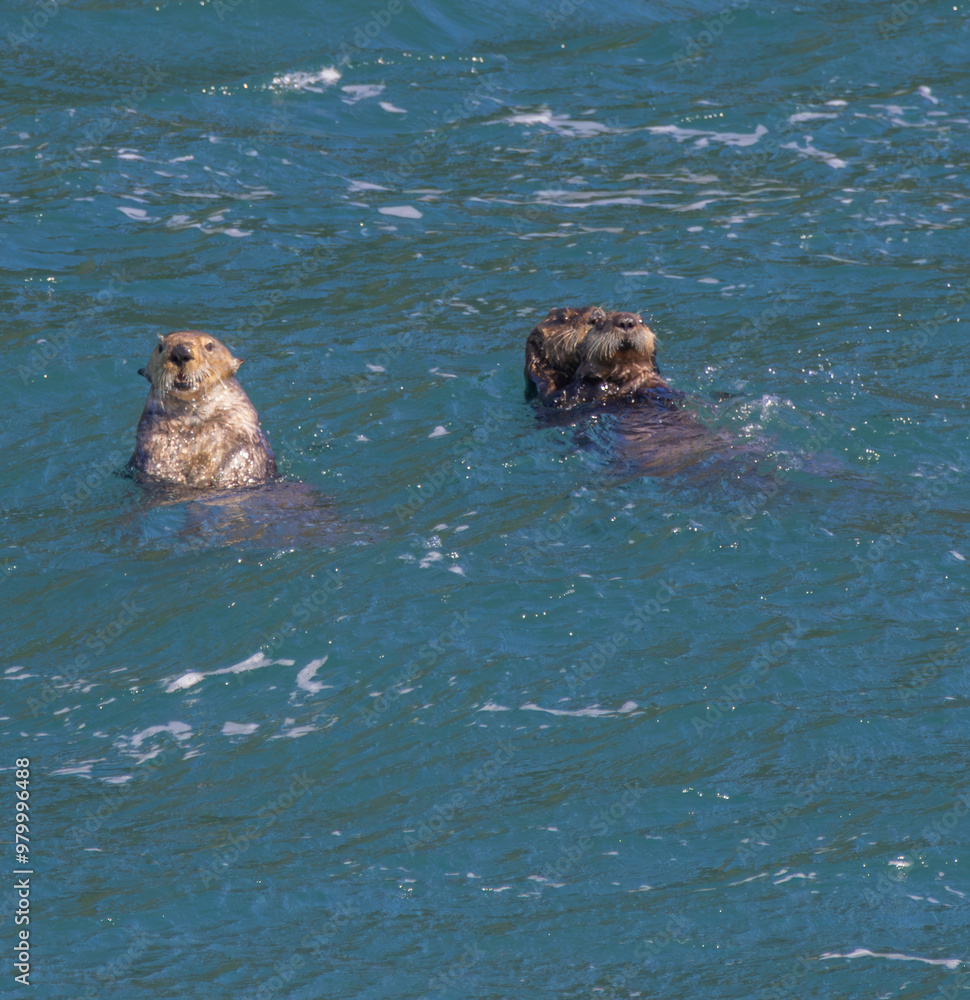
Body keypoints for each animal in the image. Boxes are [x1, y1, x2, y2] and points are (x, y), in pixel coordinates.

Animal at [127, 331, 277, 489]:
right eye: (160, 347)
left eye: (209, 346)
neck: (194, 425)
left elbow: (239, 456)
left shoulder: (241, 427)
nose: (180, 352)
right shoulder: (153, 434)